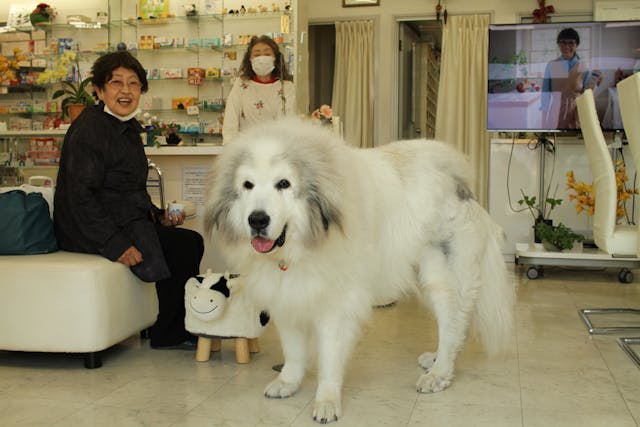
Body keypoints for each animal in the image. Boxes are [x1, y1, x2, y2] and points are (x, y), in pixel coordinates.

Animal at [205, 118, 516, 424]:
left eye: (283, 184)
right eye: (247, 185)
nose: (257, 219)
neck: (302, 248)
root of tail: (460, 184)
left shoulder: (337, 306)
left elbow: (330, 358)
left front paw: (327, 403)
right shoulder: (287, 297)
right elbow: (293, 350)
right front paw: (288, 382)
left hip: (444, 277)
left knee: (453, 325)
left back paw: (439, 373)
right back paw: (436, 360)